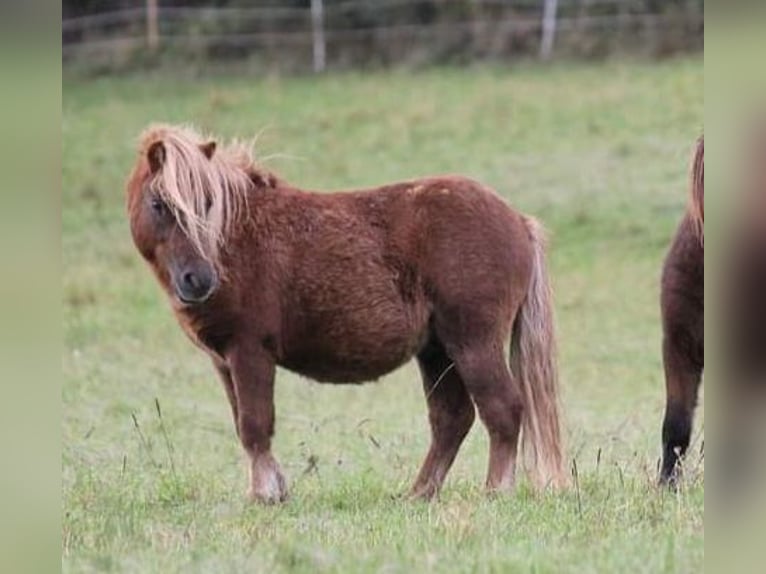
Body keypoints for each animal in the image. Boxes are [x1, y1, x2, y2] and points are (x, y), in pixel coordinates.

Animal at [126, 126, 568, 504]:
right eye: (158, 204)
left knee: (503, 408)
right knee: (452, 419)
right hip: (437, 351)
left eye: (206, 204)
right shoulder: (225, 361)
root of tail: (517, 220)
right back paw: (418, 494)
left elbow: (255, 424)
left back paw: (495, 491)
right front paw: (273, 489)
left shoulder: (249, 351)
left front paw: (265, 495)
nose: (199, 281)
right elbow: (244, 425)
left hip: (472, 342)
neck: (236, 239)